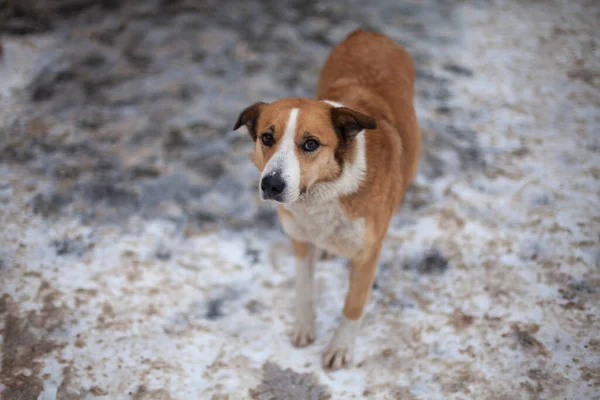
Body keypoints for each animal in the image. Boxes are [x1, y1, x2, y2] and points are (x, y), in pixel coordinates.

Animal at [232, 29, 420, 370]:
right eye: (267, 137)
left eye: (310, 144)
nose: (271, 185)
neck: (324, 194)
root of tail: (369, 31)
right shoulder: (299, 239)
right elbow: (304, 290)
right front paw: (305, 329)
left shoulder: (367, 254)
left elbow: (353, 305)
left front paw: (340, 348)